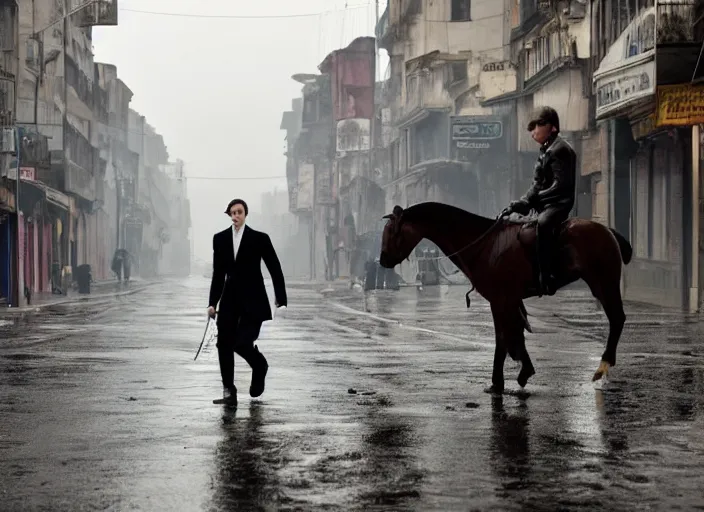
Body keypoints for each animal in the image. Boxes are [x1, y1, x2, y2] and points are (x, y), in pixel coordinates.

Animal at [380, 202, 632, 394]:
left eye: (392, 231)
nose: (382, 260)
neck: (484, 244)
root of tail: (607, 231)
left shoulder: (499, 299)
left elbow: (503, 337)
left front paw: (498, 382)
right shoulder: (508, 299)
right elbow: (515, 333)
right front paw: (522, 369)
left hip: (604, 283)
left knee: (617, 318)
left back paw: (603, 365)